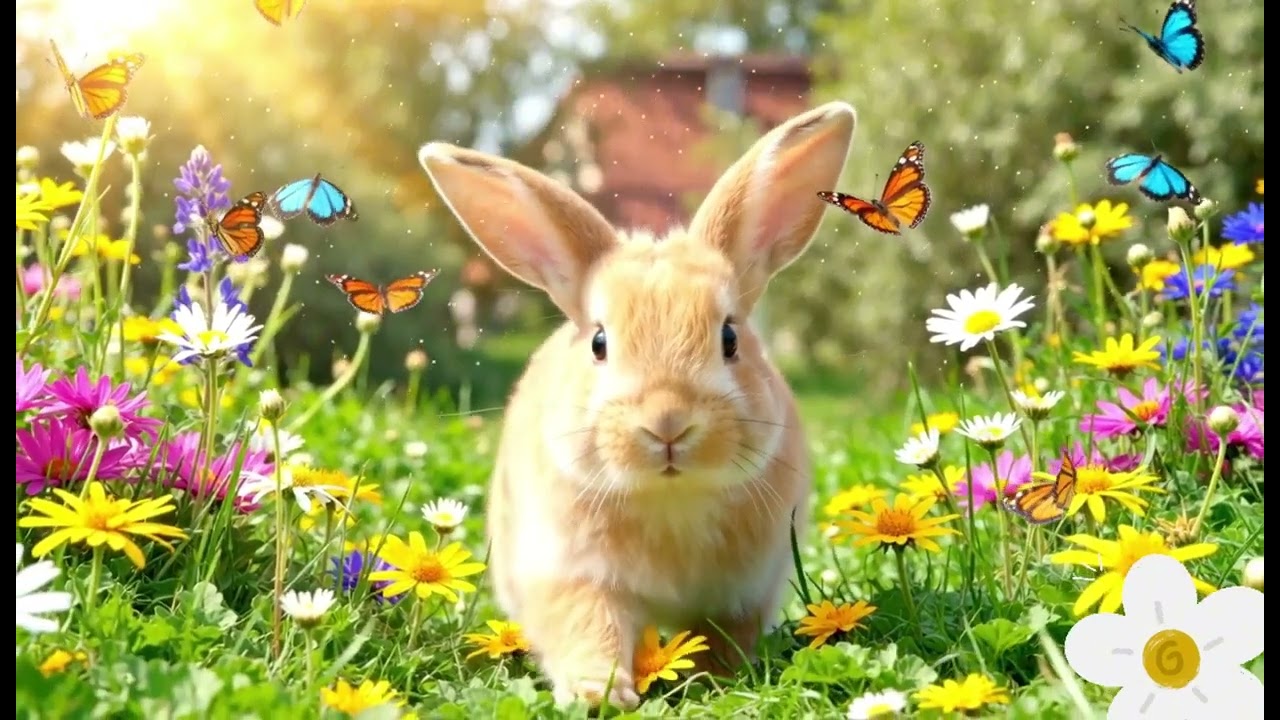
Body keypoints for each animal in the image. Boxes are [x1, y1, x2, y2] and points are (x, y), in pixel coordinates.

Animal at [417, 101, 856, 710]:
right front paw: (598, 694)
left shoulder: (742, 594)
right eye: (599, 343)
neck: (669, 498)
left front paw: (711, 684)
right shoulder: (573, 577)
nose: (667, 422)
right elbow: (591, 629)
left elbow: (721, 638)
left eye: (730, 338)